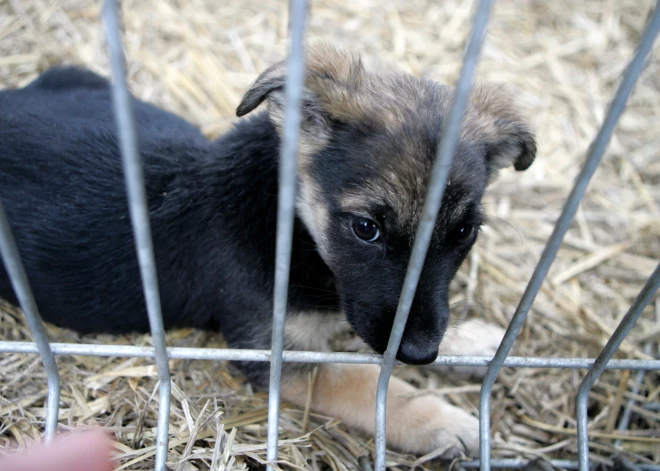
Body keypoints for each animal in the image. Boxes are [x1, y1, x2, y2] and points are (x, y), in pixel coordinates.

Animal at [0, 43, 536, 458]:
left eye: (464, 232)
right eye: (366, 229)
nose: (421, 354)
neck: (292, 227)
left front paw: (479, 342)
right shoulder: (281, 354)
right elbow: (367, 386)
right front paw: (446, 422)